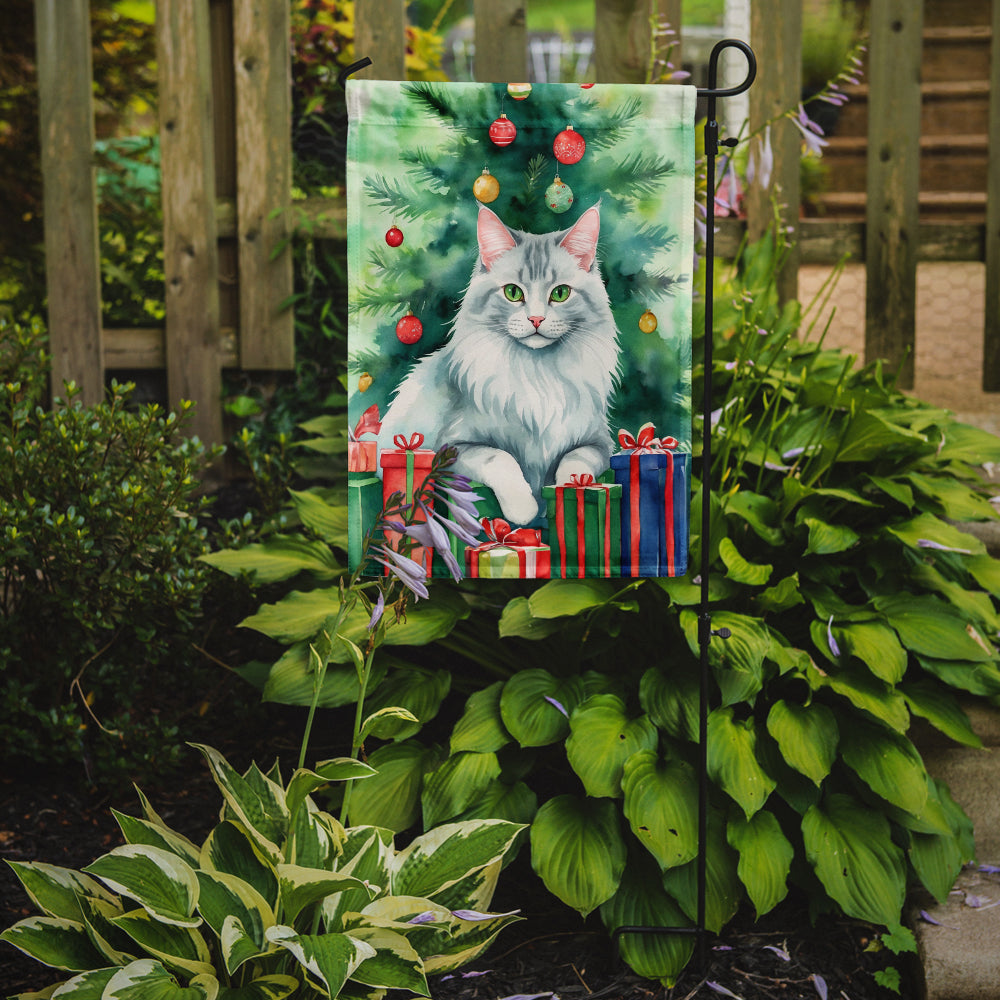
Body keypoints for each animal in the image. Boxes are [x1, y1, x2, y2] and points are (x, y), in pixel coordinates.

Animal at [378, 199, 620, 520]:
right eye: (513, 293)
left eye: (560, 293)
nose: (536, 319)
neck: (538, 374)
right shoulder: (452, 446)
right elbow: (500, 458)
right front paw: (524, 510)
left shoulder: (599, 442)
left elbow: (576, 460)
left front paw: (571, 491)